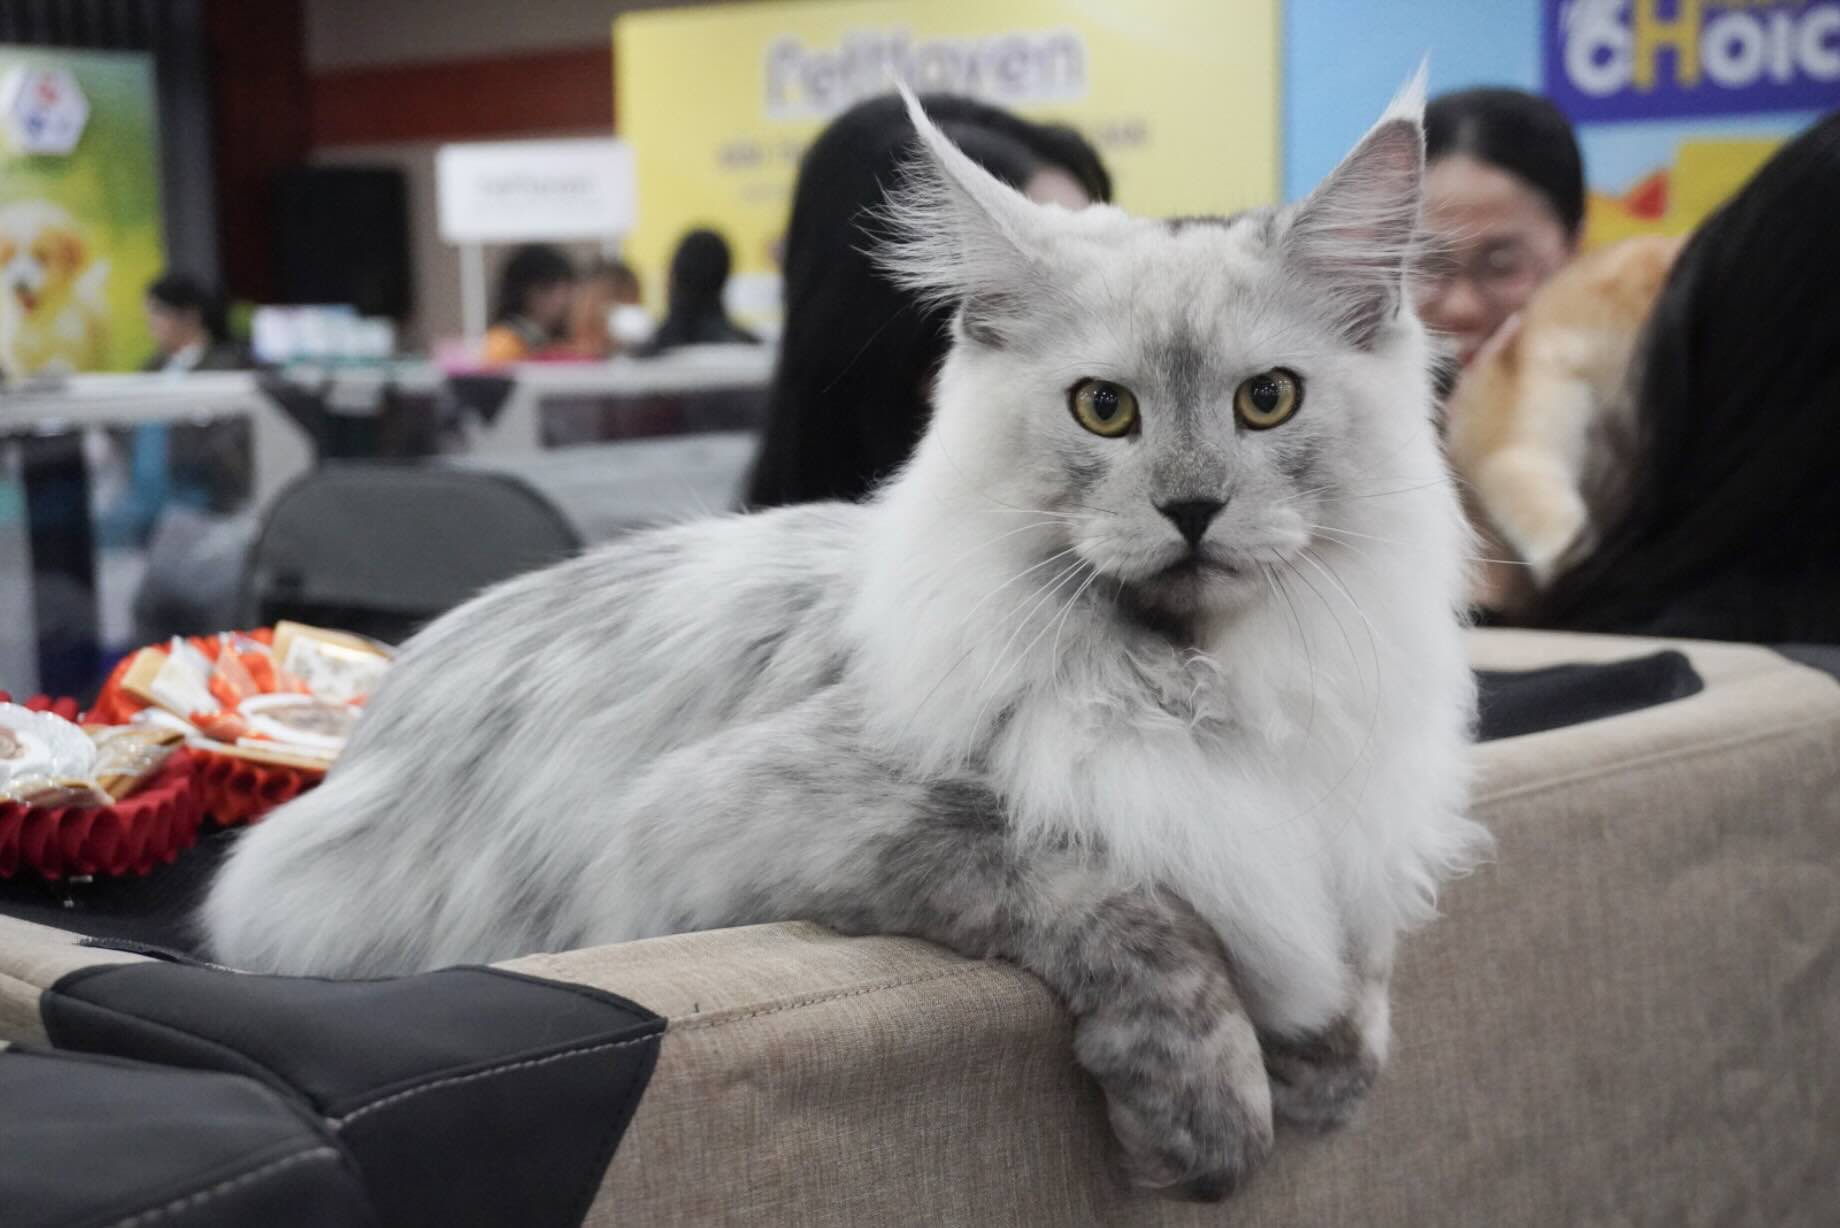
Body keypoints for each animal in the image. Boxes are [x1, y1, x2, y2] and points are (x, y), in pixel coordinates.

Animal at [0, 200, 109, 379]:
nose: (19, 284)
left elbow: (59, 365)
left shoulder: (70, 352)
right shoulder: (17, 360)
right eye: (8, 256)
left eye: (41, 256)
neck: (38, 322)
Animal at [205, 79, 1487, 1201]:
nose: (1190, 510)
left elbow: (1352, 959)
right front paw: (1216, 1119)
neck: (1192, 679)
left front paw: (1330, 1063)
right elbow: (1128, 904)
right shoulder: (776, 823)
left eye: (1267, 401)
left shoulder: (1335, 812)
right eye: (1104, 411)